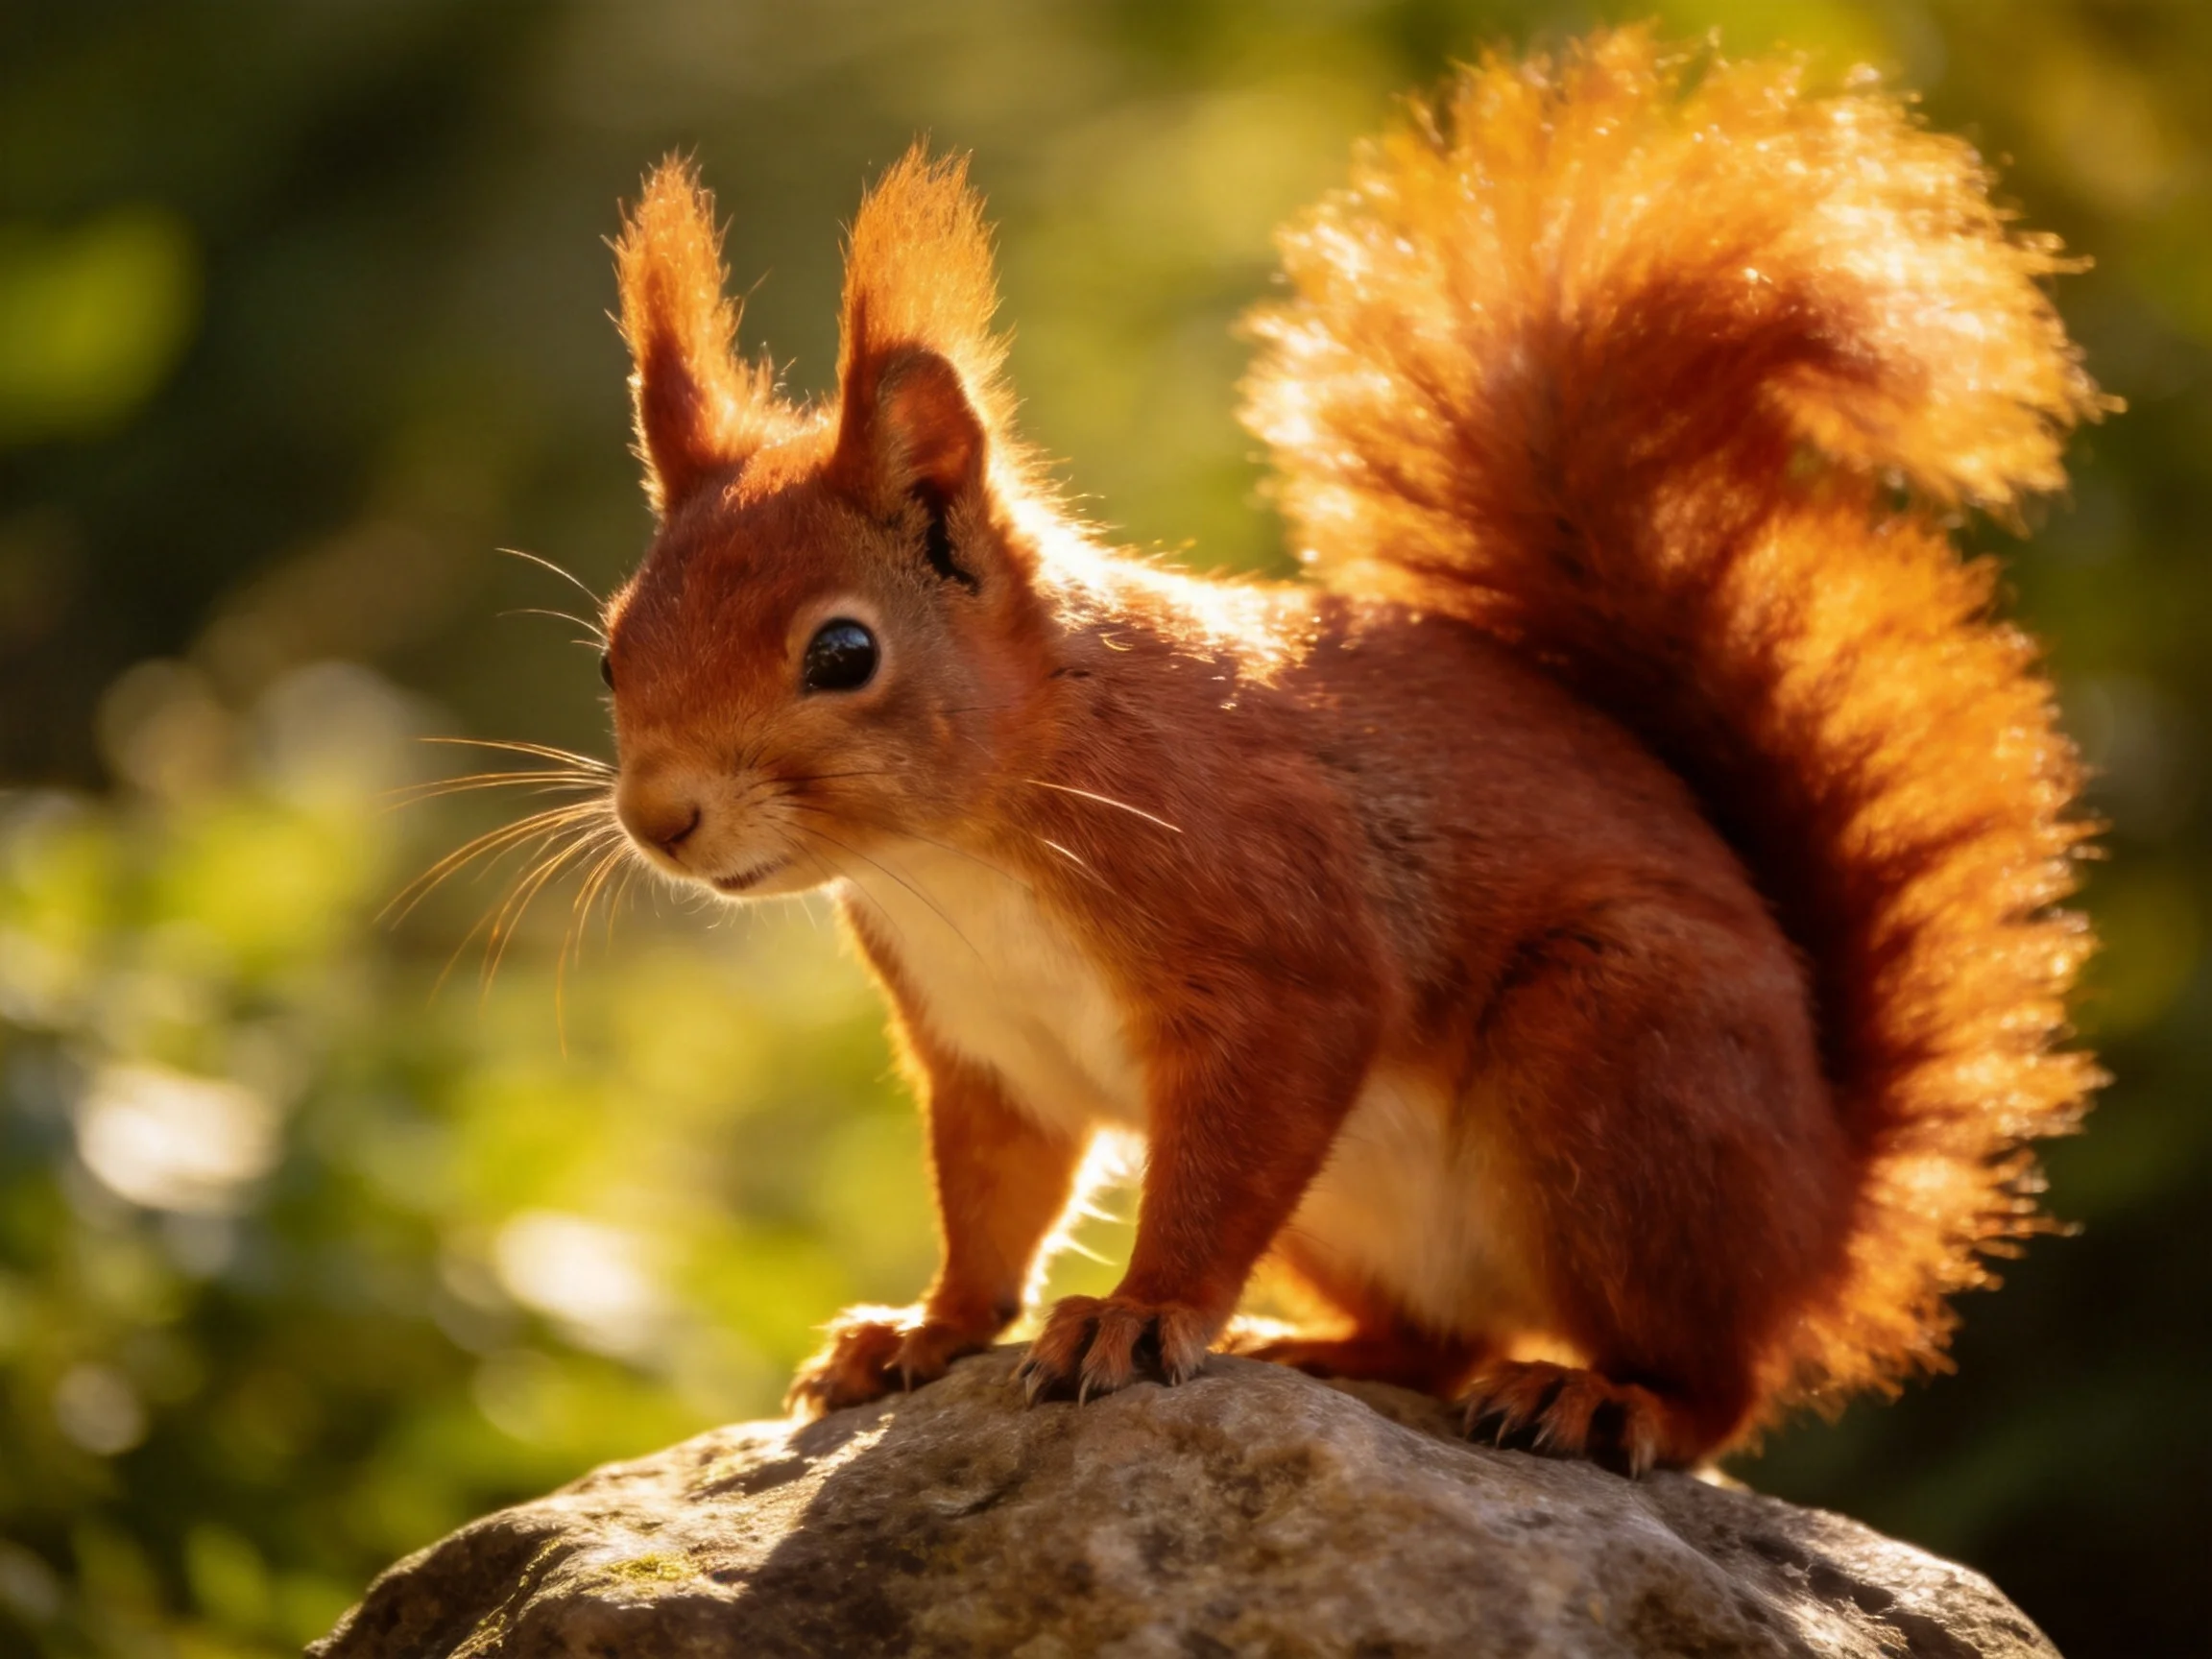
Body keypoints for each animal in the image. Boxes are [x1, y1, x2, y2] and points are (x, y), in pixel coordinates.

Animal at [590, 28, 2108, 1472]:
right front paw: (921, 1330)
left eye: (844, 654)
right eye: (610, 649)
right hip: (1376, 1203)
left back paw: (1602, 1398)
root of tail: (1825, 1209)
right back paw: (1323, 1350)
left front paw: (1139, 1314)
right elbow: (991, 1208)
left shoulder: (1272, 946)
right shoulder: (984, 1052)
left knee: (1714, 1381)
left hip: (1620, 1062)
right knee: (1440, 1338)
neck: (967, 849)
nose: (661, 818)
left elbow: (1219, 1165)